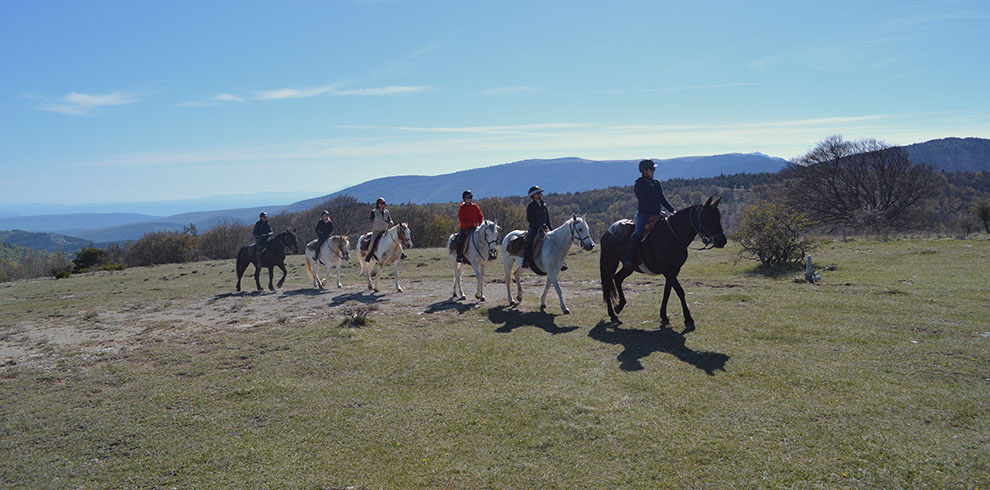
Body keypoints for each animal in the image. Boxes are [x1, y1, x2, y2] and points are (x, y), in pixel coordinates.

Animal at [596, 197, 728, 332]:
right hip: (610, 262)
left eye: (719, 216)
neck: (673, 235)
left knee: (618, 278)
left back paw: (619, 306)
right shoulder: (667, 270)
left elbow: (667, 292)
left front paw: (664, 316)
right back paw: (612, 314)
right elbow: (680, 291)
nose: (721, 240)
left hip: (629, 267)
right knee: (607, 284)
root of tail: (608, 232)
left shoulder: (674, 270)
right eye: (707, 217)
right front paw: (688, 320)